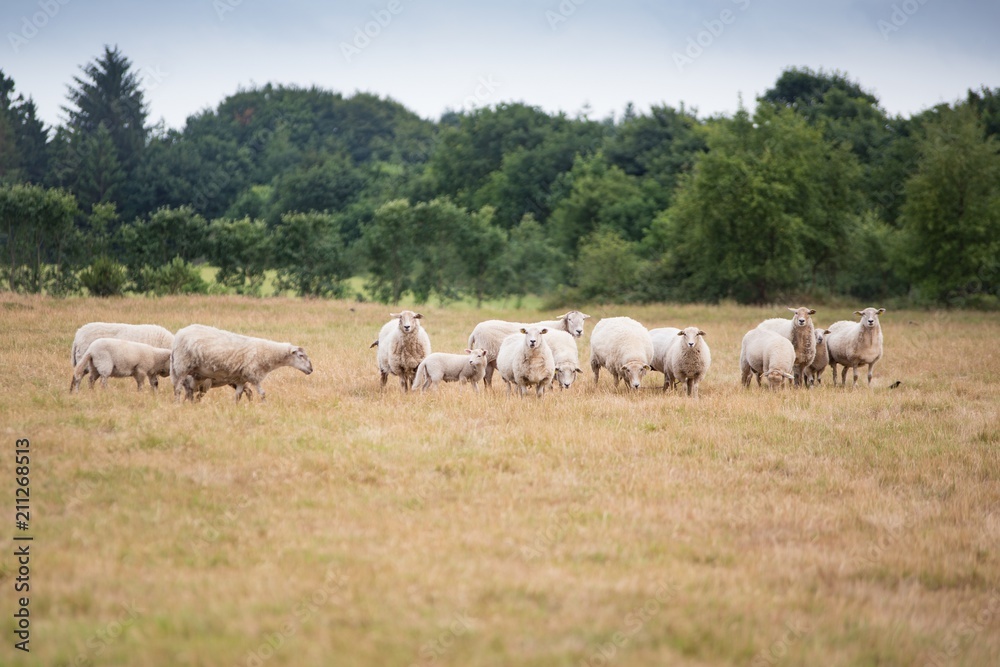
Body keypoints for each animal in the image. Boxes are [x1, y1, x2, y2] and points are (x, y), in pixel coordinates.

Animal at [170, 322, 312, 402]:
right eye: (301, 355)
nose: (311, 369)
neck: (267, 353)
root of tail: (179, 334)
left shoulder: (241, 379)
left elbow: (238, 395)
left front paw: (236, 408)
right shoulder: (253, 376)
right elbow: (262, 393)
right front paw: (265, 405)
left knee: (187, 391)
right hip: (182, 366)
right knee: (177, 389)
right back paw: (177, 404)